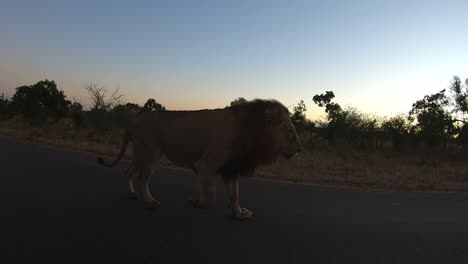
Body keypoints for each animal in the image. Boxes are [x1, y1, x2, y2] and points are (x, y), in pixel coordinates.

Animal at [99, 99, 304, 219]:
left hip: (141, 153)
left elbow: (234, 194)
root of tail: (133, 121)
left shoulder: (231, 167)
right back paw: (150, 202)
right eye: (290, 132)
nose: (300, 149)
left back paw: (132, 194)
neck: (253, 131)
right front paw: (196, 202)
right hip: (151, 153)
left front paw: (239, 213)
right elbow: (210, 198)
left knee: (128, 172)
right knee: (142, 180)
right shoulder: (206, 164)